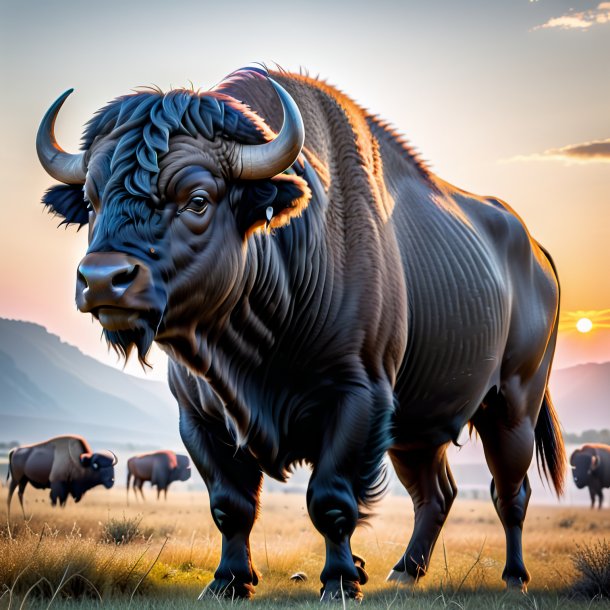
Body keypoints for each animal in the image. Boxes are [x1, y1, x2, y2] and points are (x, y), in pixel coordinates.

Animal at [35, 66, 564, 600]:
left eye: (197, 200)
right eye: (91, 201)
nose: (103, 279)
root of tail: (538, 253)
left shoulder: (358, 400)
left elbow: (331, 500)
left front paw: (341, 581)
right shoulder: (199, 418)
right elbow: (231, 504)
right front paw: (229, 581)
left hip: (513, 406)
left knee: (510, 492)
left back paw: (513, 576)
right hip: (418, 430)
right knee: (436, 494)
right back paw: (404, 571)